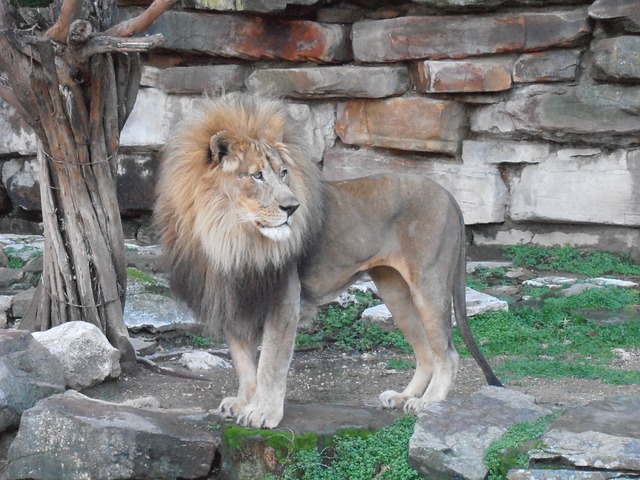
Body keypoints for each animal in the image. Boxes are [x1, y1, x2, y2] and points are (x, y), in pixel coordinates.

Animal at [154, 92, 500, 430]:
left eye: (283, 173)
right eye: (257, 176)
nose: (292, 207)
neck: (230, 234)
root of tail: (449, 194)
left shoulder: (283, 298)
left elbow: (270, 363)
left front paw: (264, 413)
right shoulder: (234, 298)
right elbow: (243, 363)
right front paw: (243, 403)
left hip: (428, 284)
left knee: (448, 354)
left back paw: (428, 403)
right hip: (395, 290)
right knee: (426, 351)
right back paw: (404, 397)